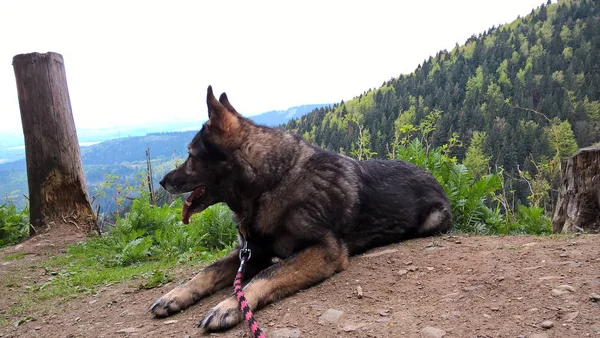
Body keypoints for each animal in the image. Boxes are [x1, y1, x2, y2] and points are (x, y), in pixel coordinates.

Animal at [151, 86, 454, 332]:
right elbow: (207, 271)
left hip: (434, 220)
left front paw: (229, 306)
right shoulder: (250, 251)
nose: (163, 181)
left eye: (190, 155)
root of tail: (430, 173)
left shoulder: (324, 250)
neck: (270, 183)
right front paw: (173, 296)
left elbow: (266, 274)